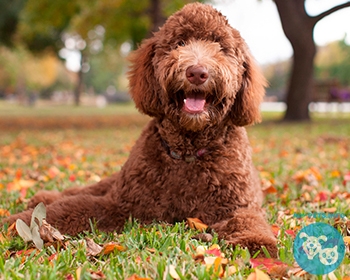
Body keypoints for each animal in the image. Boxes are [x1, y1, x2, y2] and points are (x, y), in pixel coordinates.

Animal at [3, 2, 276, 258]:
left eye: (220, 46)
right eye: (179, 43)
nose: (197, 72)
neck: (188, 153)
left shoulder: (237, 205)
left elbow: (248, 220)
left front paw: (257, 242)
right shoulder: (122, 203)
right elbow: (71, 207)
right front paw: (15, 222)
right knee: (83, 190)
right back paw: (45, 196)